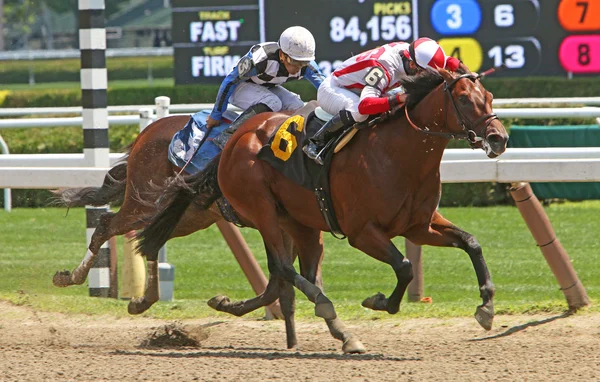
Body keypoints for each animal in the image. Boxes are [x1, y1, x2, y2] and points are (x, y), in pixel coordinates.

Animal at [138, 67, 508, 354]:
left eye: (489, 97)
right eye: (464, 99)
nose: (499, 138)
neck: (398, 155)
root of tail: (235, 137)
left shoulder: (419, 226)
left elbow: (471, 242)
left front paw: (486, 307)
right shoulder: (362, 232)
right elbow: (404, 267)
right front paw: (379, 301)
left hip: (300, 223)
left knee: (287, 273)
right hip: (261, 209)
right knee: (283, 267)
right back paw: (325, 307)